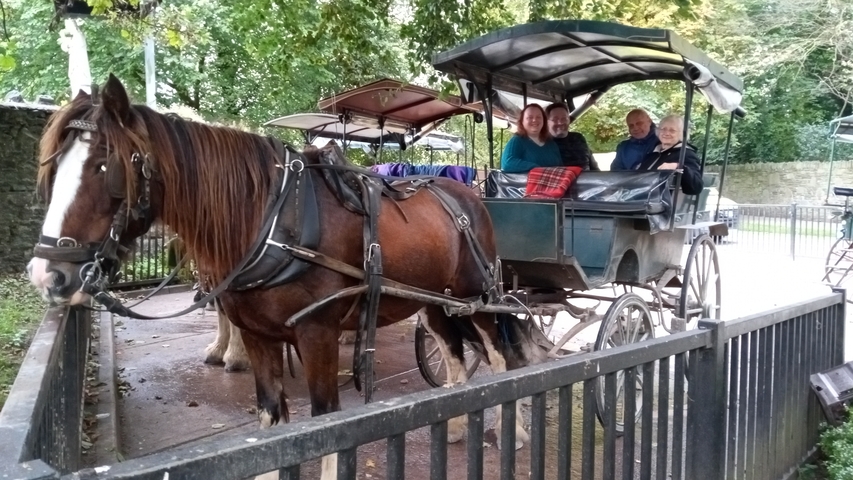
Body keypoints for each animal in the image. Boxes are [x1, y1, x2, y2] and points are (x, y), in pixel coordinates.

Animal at [27, 75, 548, 478]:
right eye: (53, 169)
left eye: (105, 167)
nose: (47, 274)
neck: (274, 221)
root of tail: (467, 192)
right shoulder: (260, 336)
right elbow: (273, 424)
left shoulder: (317, 335)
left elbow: (325, 424)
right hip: (435, 302)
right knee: (455, 354)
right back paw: (457, 426)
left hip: (479, 297)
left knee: (501, 357)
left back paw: (516, 433)